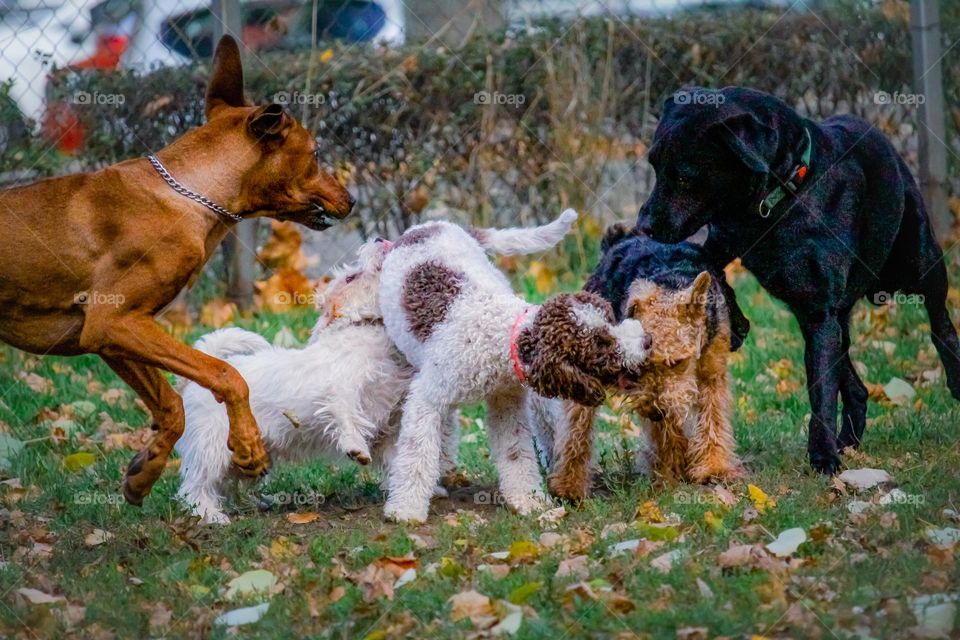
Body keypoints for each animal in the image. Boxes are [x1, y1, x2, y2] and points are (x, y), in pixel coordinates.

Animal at [0, 35, 354, 504]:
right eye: (315, 154)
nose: (352, 199)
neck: (188, 193)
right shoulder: (112, 320)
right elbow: (226, 373)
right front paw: (249, 448)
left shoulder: (110, 334)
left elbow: (172, 407)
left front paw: (143, 473)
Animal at [174, 240, 410, 524]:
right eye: (351, 277)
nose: (378, 240)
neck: (365, 329)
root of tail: (193, 384)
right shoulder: (338, 390)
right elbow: (346, 417)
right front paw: (355, 447)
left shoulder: (385, 421)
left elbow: (391, 455)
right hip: (211, 447)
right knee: (195, 487)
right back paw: (209, 514)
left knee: (227, 484)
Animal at [376, 212, 652, 524]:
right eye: (601, 342)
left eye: (610, 319)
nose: (647, 341)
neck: (502, 335)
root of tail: (429, 226)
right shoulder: (427, 399)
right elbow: (415, 454)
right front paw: (405, 509)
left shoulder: (506, 401)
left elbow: (516, 453)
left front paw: (527, 500)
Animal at [632, 85, 956, 472]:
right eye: (654, 166)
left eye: (683, 176)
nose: (644, 226)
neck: (780, 198)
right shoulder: (725, 245)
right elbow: (713, 274)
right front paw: (736, 324)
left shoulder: (819, 312)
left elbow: (821, 391)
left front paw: (823, 457)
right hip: (831, 318)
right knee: (854, 383)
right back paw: (849, 440)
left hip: (919, 261)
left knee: (939, 321)